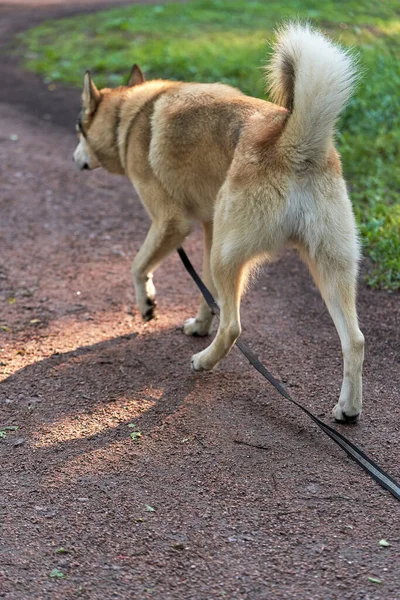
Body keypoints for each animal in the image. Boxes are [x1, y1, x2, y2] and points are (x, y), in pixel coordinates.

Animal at [73, 22, 364, 422]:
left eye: (77, 128)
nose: (75, 160)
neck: (129, 116)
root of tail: (292, 143)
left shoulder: (171, 224)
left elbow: (138, 267)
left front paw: (147, 304)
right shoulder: (209, 230)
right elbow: (205, 292)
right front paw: (199, 324)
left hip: (228, 257)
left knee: (233, 327)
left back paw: (203, 361)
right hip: (329, 266)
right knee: (354, 340)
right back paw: (348, 409)